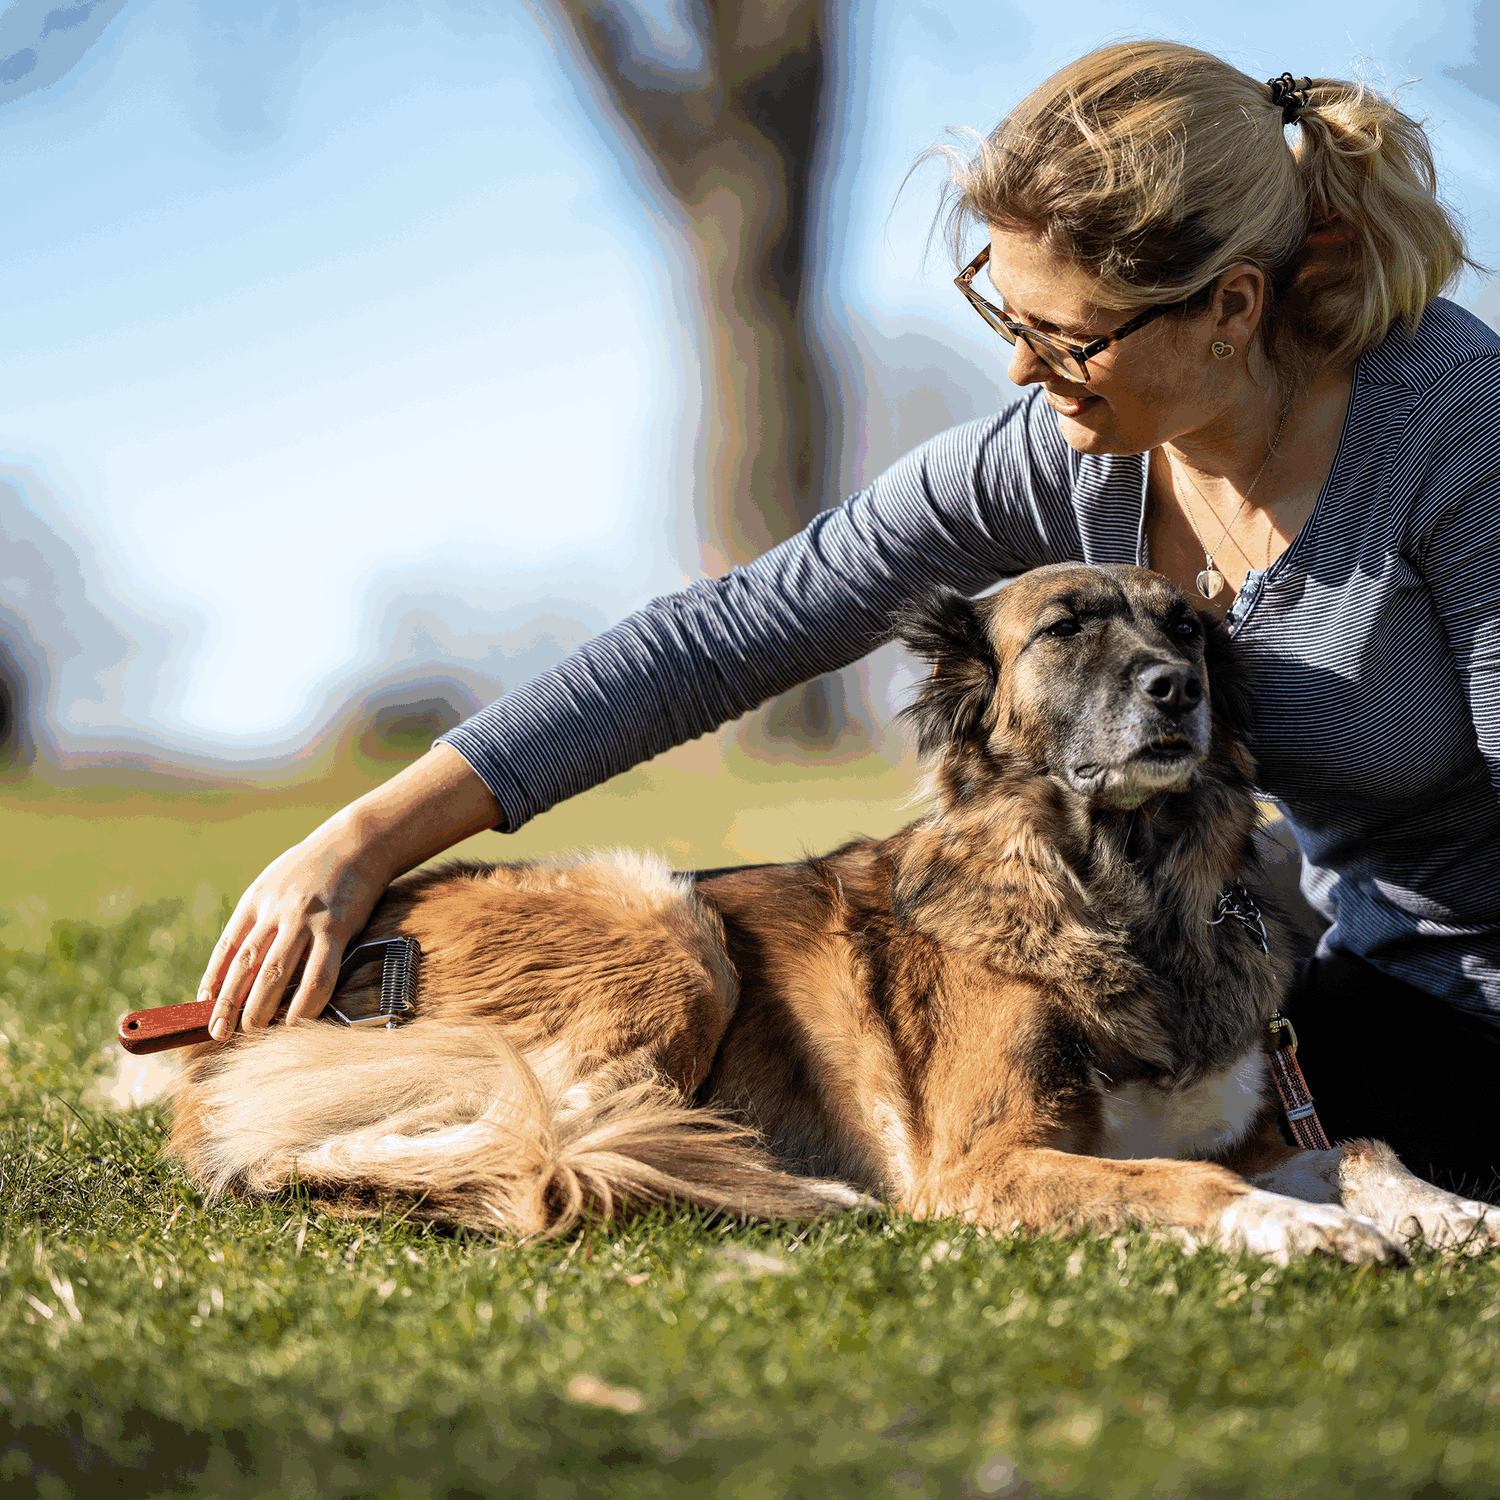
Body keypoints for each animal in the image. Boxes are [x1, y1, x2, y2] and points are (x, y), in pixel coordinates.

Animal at [170, 564, 1494, 1266]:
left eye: (1184, 627)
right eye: (1067, 627)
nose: (1180, 689)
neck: (1121, 892)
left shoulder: (1250, 1123)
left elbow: (1357, 1144)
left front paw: (1451, 1209)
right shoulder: (987, 1162)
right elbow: (1187, 1185)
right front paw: (1308, 1233)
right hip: (672, 932)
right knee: (476, 1141)